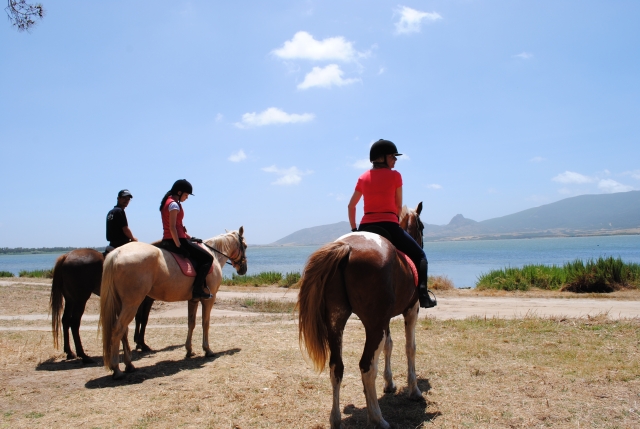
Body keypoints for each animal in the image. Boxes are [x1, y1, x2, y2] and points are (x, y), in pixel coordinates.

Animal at [100, 228, 247, 379]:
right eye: (245, 246)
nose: (243, 269)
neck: (214, 254)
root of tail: (117, 253)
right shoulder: (208, 300)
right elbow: (205, 323)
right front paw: (207, 349)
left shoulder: (193, 300)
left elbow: (191, 323)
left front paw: (189, 350)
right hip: (132, 304)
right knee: (118, 329)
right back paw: (117, 369)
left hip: (121, 304)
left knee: (124, 331)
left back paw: (129, 365)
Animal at [297, 203, 426, 429]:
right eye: (423, 227)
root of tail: (346, 247)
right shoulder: (411, 309)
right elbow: (410, 348)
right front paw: (414, 390)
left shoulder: (386, 319)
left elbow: (389, 345)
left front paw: (389, 383)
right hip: (374, 325)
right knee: (366, 367)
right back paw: (376, 417)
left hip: (337, 322)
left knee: (336, 367)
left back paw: (336, 418)